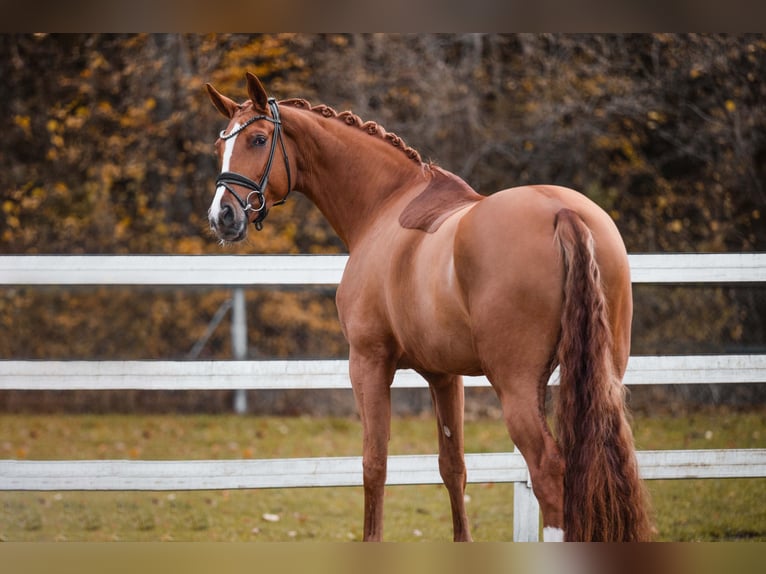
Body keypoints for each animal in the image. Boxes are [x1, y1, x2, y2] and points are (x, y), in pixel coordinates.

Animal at [204, 73, 656, 544]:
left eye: (258, 139)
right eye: (220, 146)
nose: (223, 216)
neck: (386, 205)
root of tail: (563, 213)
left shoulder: (368, 363)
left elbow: (374, 464)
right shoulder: (445, 375)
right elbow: (452, 466)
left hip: (515, 385)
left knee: (549, 472)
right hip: (600, 376)